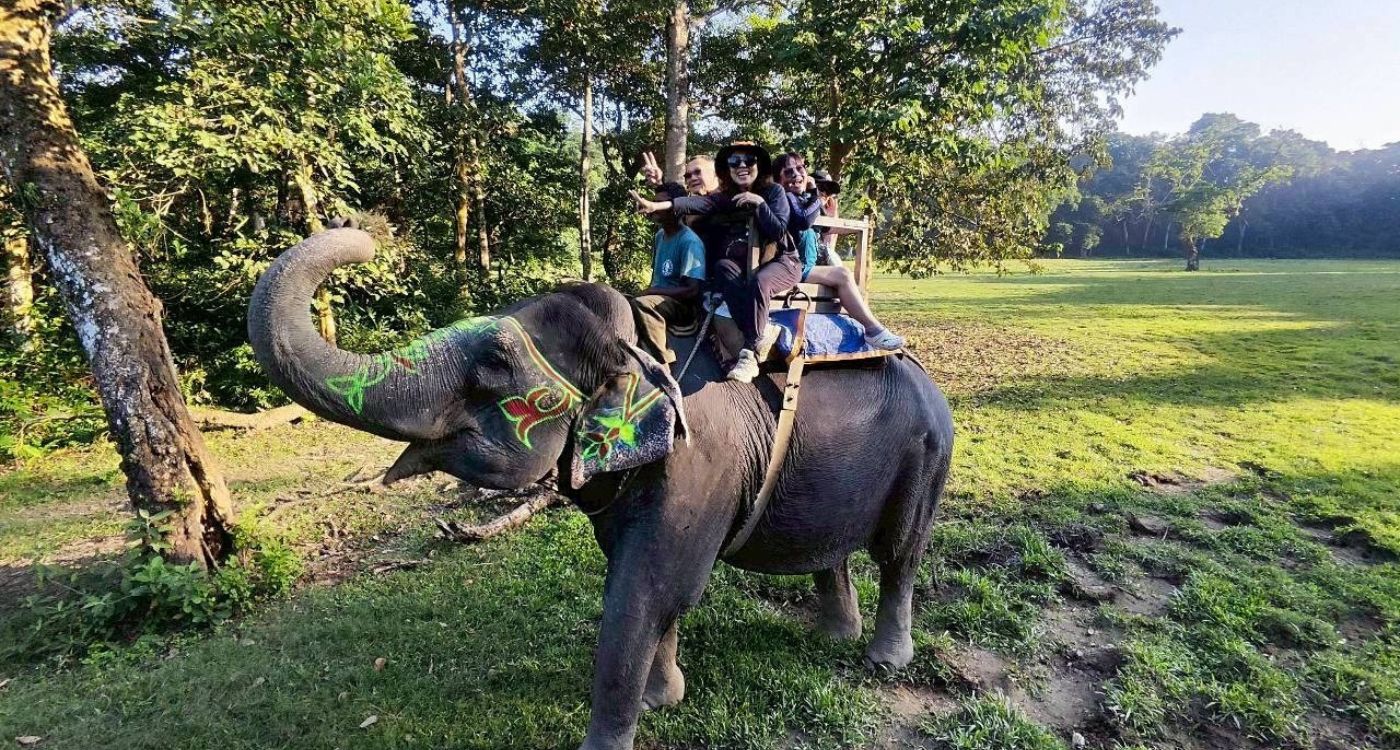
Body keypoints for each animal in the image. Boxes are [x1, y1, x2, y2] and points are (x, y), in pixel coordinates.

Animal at [247, 226, 954, 750]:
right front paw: (664, 698)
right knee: (836, 552)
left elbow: (647, 588)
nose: (369, 244)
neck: (641, 339)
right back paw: (834, 637)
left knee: (899, 553)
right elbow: (646, 583)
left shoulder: (699, 466)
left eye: (493, 367)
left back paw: (883, 660)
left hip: (926, 455)